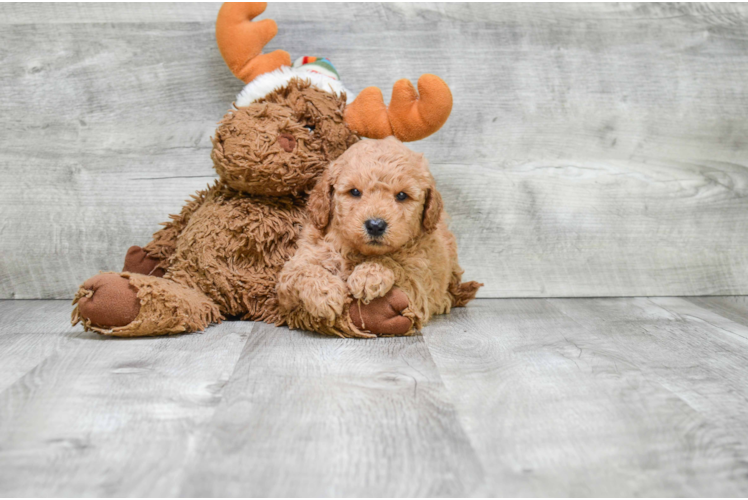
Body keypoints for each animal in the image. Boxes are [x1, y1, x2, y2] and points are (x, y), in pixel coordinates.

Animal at [278, 136, 482, 336]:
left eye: (402, 195)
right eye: (354, 192)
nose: (375, 226)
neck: (357, 251)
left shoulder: (419, 286)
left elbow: (394, 263)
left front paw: (368, 275)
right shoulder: (298, 264)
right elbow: (302, 270)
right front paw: (325, 295)